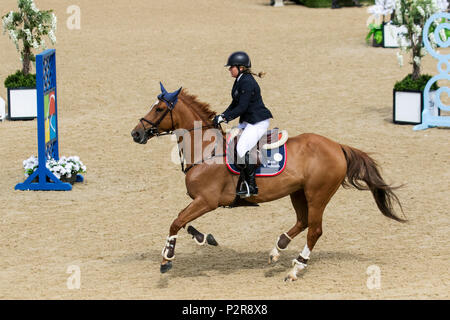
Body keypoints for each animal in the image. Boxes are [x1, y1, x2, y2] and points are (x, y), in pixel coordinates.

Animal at [129, 84, 404, 282]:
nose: (136, 133)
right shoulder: (201, 201)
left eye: (159, 109)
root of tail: (337, 146)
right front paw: (204, 238)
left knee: (314, 230)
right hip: (298, 193)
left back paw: (295, 269)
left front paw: (166, 259)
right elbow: (183, 221)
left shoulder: (207, 201)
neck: (206, 150)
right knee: (303, 221)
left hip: (318, 195)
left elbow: (176, 221)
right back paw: (277, 249)